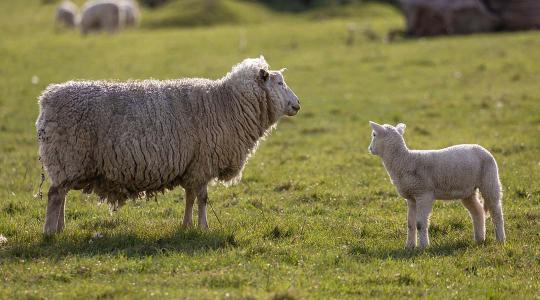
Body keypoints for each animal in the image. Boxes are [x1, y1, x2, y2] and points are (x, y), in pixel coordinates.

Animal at [36, 56, 302, 234]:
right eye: (279, 83)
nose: (298, 104)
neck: (226, 104)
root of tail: (46, 99)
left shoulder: (192, 165)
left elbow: (190, 197)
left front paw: (186, 225)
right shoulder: (204, 162)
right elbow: (203, 198)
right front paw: (204, 227)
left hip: (67, 162)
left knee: (61, 194)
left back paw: (60, 228)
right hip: (67, 156)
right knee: (54, 195)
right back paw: (50, 232)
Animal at [370, 121, 504, 248]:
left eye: (374, 135)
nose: (370, 148)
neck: (404, 160)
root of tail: (482, 148)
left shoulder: (424, 194)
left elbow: (420, 224)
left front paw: (423, 246)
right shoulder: (412, 197)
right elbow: (410, 224)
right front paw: (409, 246)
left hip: (489, 180)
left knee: (496, 211)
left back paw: (500, 240)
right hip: (468, 191)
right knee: (478, 212)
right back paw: (479, 239)